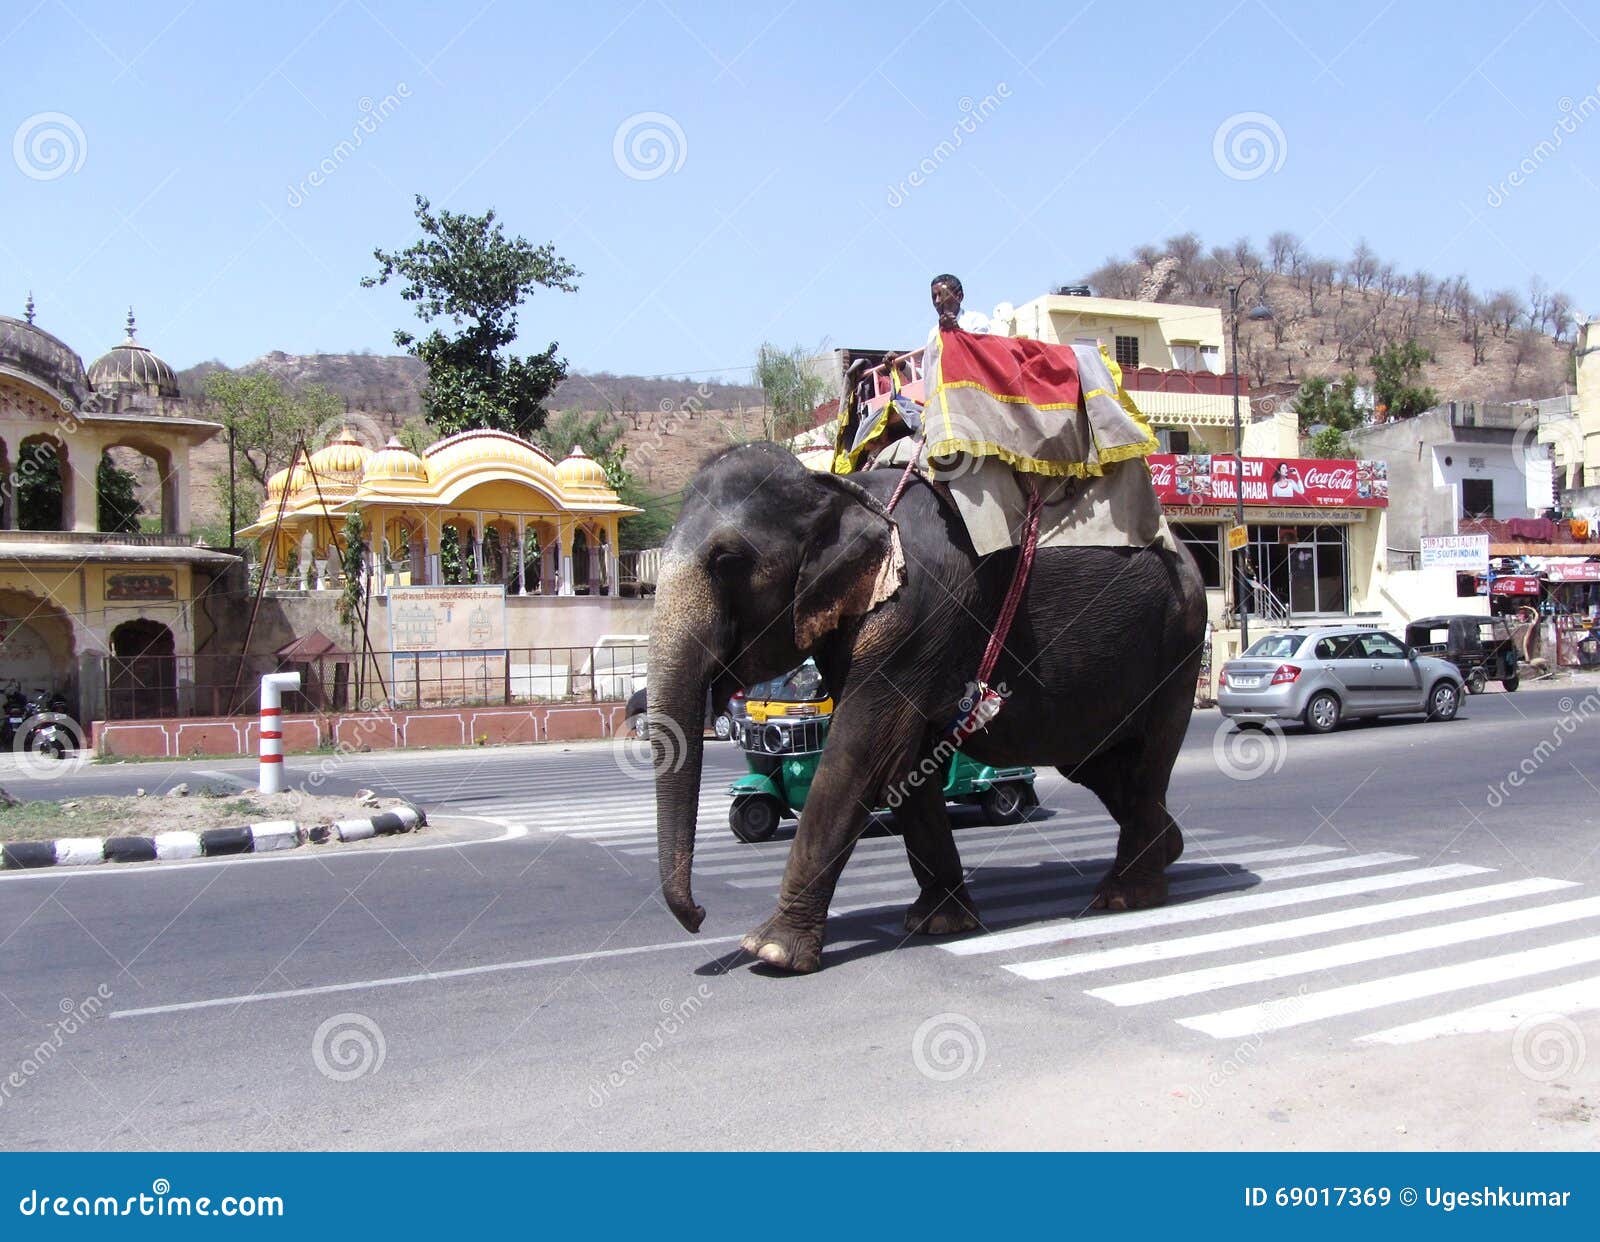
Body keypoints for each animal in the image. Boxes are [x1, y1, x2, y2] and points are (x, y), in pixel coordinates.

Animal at [643, 441, 1203, 973]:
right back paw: (1168, 850)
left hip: (1177, 646)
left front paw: (770, 951)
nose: (699, 916)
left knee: (1148, 758)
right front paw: (939, 924)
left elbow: (861, 753)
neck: (842, 490)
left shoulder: (914, 615)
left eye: (727, 562)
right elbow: (904, 763)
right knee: (1094, 762)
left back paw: (1126, 894)